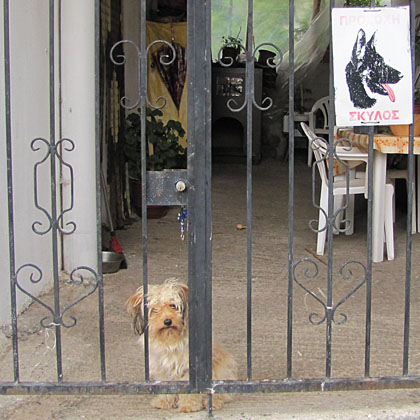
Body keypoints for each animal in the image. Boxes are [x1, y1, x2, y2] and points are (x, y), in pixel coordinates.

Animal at [124, 278, 238, 412]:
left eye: (173, 305)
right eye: (155, 309)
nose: (167, 321)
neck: (170, 339)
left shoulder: (189, 368)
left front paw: (189, 405)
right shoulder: (163, 368)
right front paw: (164, 401)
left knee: (220, 393)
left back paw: (213, 402)